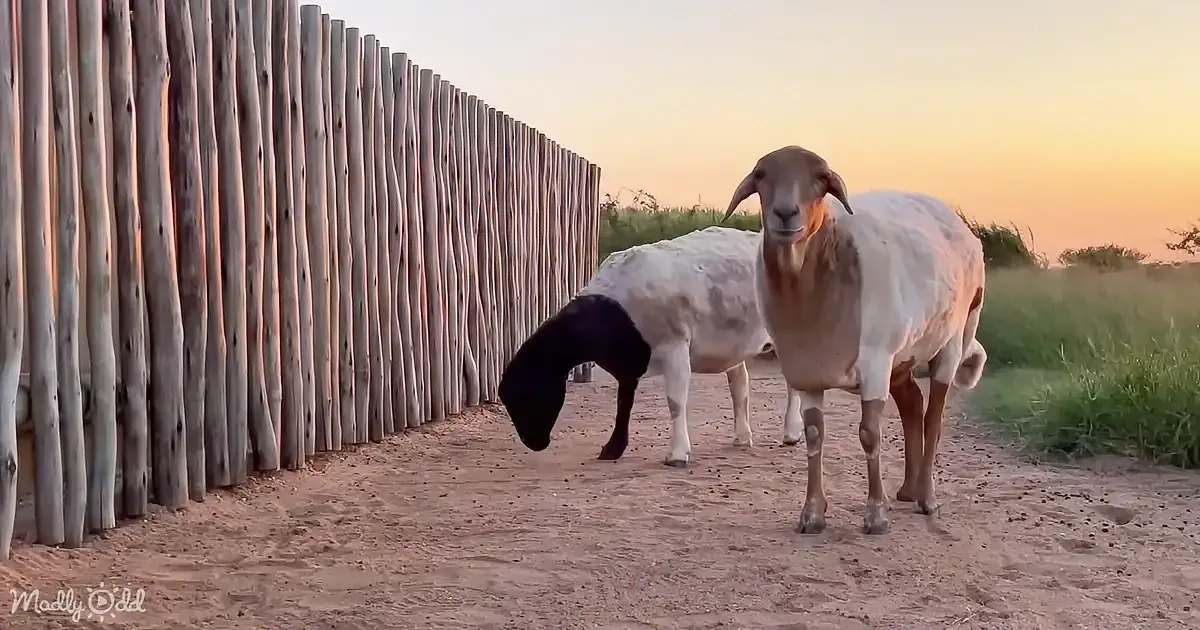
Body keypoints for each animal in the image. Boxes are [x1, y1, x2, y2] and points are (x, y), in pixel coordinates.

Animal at [498, 225, 803, 467]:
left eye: (526, 394)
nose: (533, 442)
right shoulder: (628, 360)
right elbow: (624, 402)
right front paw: (612, 449)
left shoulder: (674, 345)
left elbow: (675, 401)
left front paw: (677, 454)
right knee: (740, 385)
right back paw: (742, 437)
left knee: (792, 383)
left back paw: (791, 433)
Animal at [722, 145, 987, 535]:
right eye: (760, 176)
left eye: (821, 179)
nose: (785, 214)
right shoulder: (807, 369)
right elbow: (814, 434)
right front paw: (812, 515)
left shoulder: (875, 361)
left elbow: (870, 434)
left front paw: (875, 515)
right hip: (901, 358)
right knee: (912, 404)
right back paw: (907, 491)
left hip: (950, 339)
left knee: (933, 417)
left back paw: (926, 498)